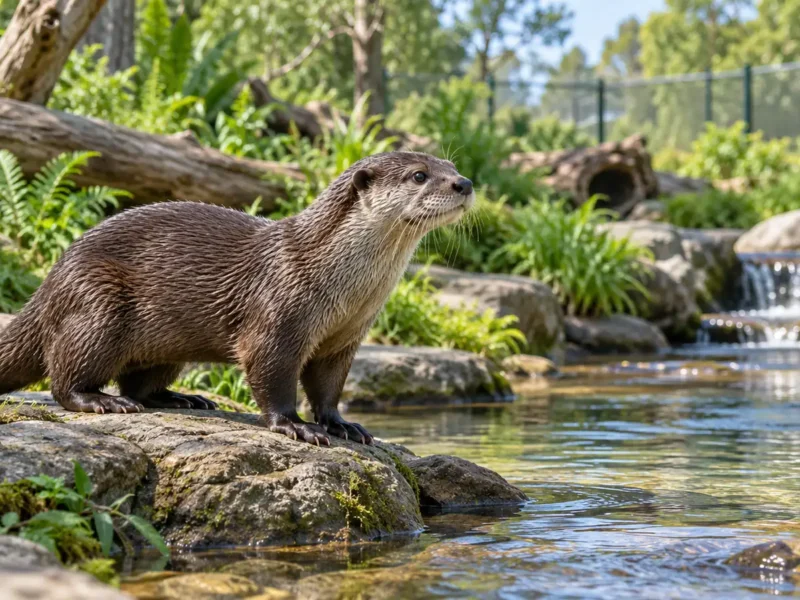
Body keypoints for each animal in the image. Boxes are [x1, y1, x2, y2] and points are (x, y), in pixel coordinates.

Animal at [0, 152, 474, 445]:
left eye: (450, 164)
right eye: (419, 174)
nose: (464, 182)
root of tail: (51, 280)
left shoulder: (345, 338)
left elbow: (328, 388)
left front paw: (342, 424)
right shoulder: (278, 318)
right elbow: (273, 377)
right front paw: (296, 427)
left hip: (162, 342)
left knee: (138, 380)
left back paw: (181, 399)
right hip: (96, 304)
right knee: (64, 377)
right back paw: (103, 401)